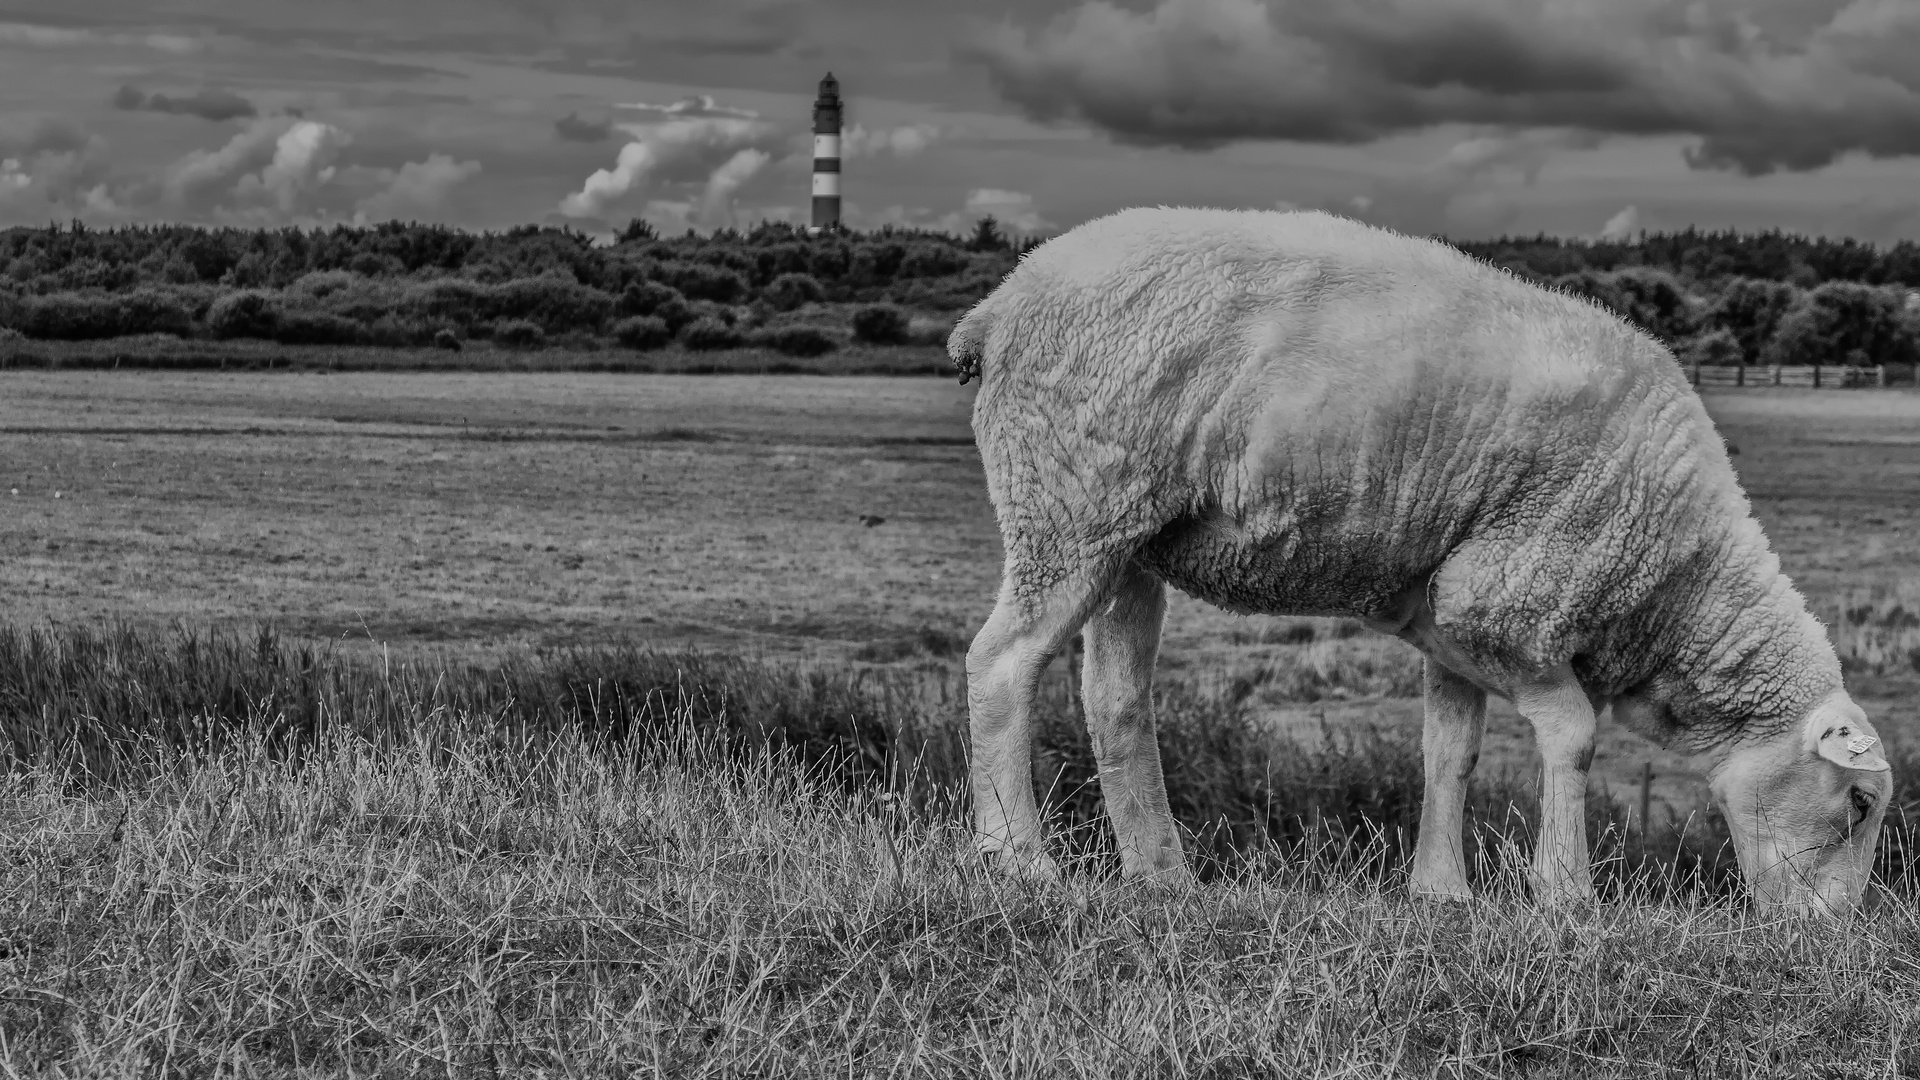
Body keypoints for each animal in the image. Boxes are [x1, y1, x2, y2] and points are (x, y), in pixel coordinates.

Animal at [944, 205, 1889, 910]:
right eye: (1861, 801)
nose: (1831, 941)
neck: (1680, 586)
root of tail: (999, 306)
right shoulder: (1506, 599)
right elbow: (1574, 735)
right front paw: (1566, 895)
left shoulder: (1452, 618)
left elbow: (1450, 751)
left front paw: (1441, 893)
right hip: (1066, 503)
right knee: (1001, 664)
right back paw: (1018, 860)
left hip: (1128, 537)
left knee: (1114, 699)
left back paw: (1162, 875)